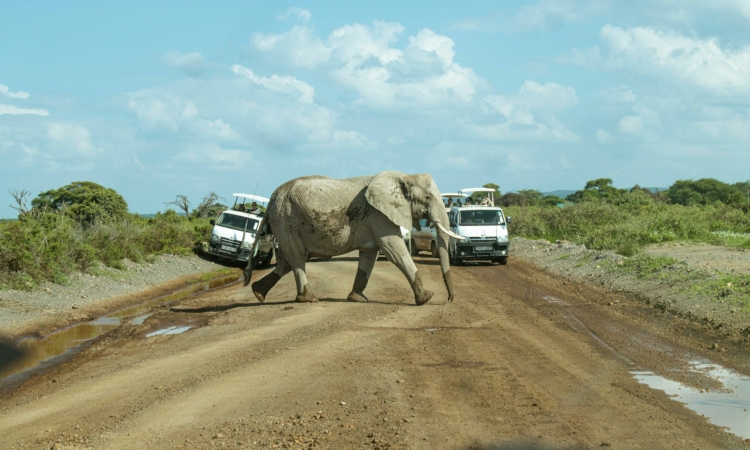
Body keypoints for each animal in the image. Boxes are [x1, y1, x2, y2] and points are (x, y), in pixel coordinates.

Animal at [242, 171, 464, 305]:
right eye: (428, 198)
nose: (449, 299)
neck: (403, 176)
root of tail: (273, 196)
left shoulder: (373, 220)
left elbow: (369, 256)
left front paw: (357, 299)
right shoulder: (379, 216)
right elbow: (395, 251)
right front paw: (426, 298)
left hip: (284, 223)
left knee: (288, 261)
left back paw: (258, 293)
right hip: (286, 221)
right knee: (297, 258)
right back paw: (310, 299)